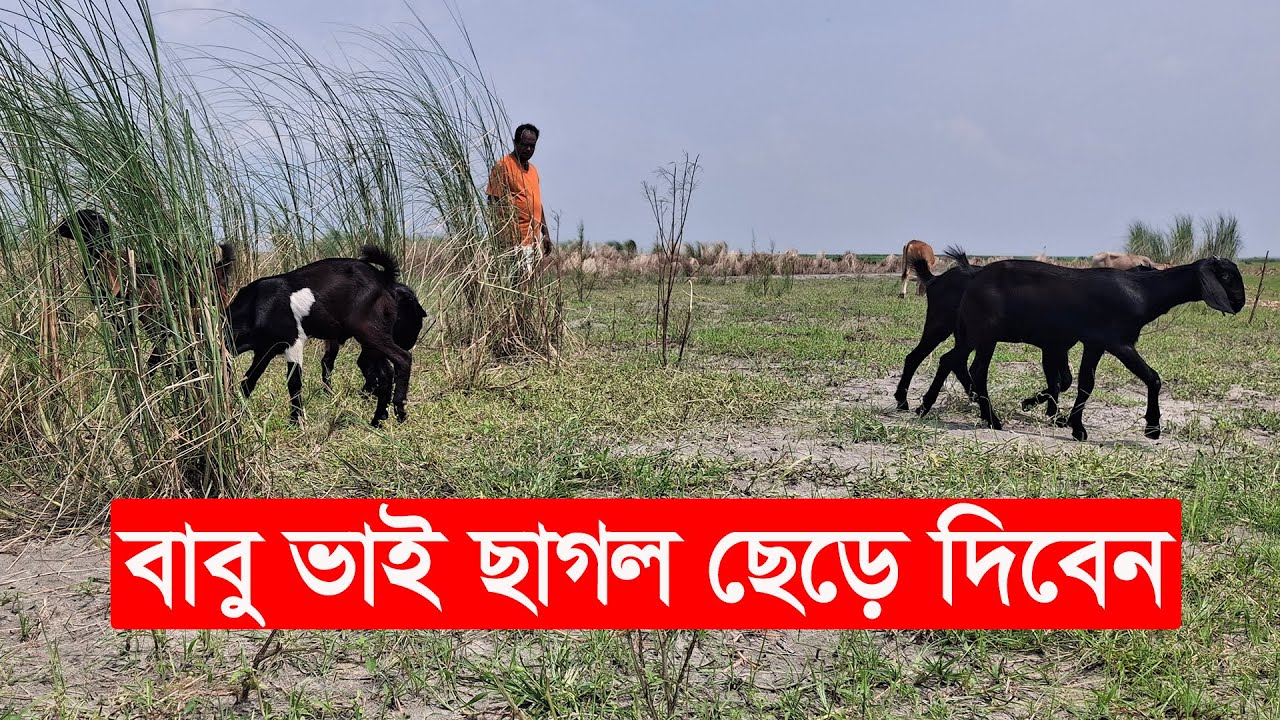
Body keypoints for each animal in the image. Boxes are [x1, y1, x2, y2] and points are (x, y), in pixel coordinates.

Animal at [225, 245, 413, 427]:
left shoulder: (293, 343)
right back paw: (377, 420)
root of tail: (382, 278)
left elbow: (293, 382)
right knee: (386, 374)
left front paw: (295, 422)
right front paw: (237, 416)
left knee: (403, 357)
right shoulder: (264, 350)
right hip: (372, 340)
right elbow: (249, 381)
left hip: (368, 331)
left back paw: (399, 410)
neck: (256, 305)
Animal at [895, 247, 1074, 421]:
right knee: (917, 357)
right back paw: (903, 401)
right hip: (942, 327)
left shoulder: (1060, 348)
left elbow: (1065, 380)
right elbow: (1057, 381)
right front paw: (1043, 409)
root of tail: (936, 279)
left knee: (955, 362)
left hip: (965, 336)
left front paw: (1051, 413)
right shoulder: (1050, 347)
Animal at [915, 256, 1246, 441]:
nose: (1241, 303)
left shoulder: (1093, 343)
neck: (1143, 291)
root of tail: (972, 281)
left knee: (950, 360)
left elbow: (1085, 383)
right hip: (985, 332)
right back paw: (991, 419)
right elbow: (1152, 377)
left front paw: (1072, 424)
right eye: (1225, 276)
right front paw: (1152, 428)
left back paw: (925, 406)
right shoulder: (1117, 341)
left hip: (973, 333)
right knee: (976, 369)